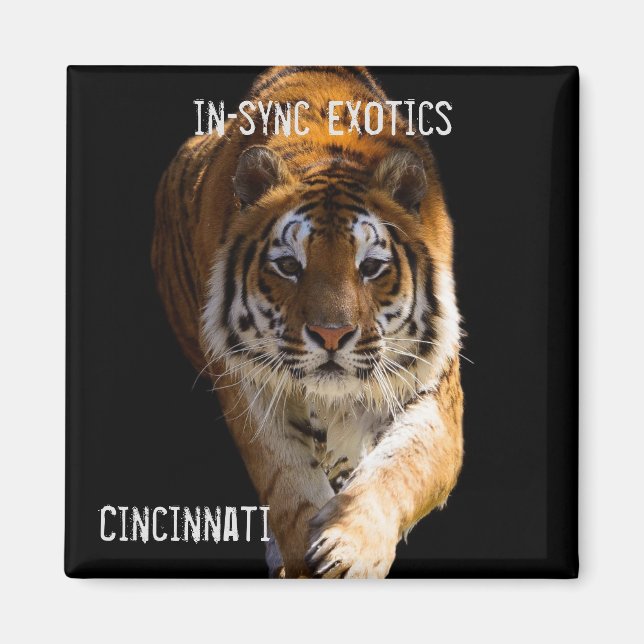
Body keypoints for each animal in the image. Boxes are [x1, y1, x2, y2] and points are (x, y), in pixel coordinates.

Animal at [151, 66, 463, 578]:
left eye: (370, 267)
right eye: (288, 266)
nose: (331, 335)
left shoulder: (432, 388)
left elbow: (400, 469)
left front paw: (349, 548)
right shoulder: (248, 386)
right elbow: (288, 482)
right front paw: (304, 554)